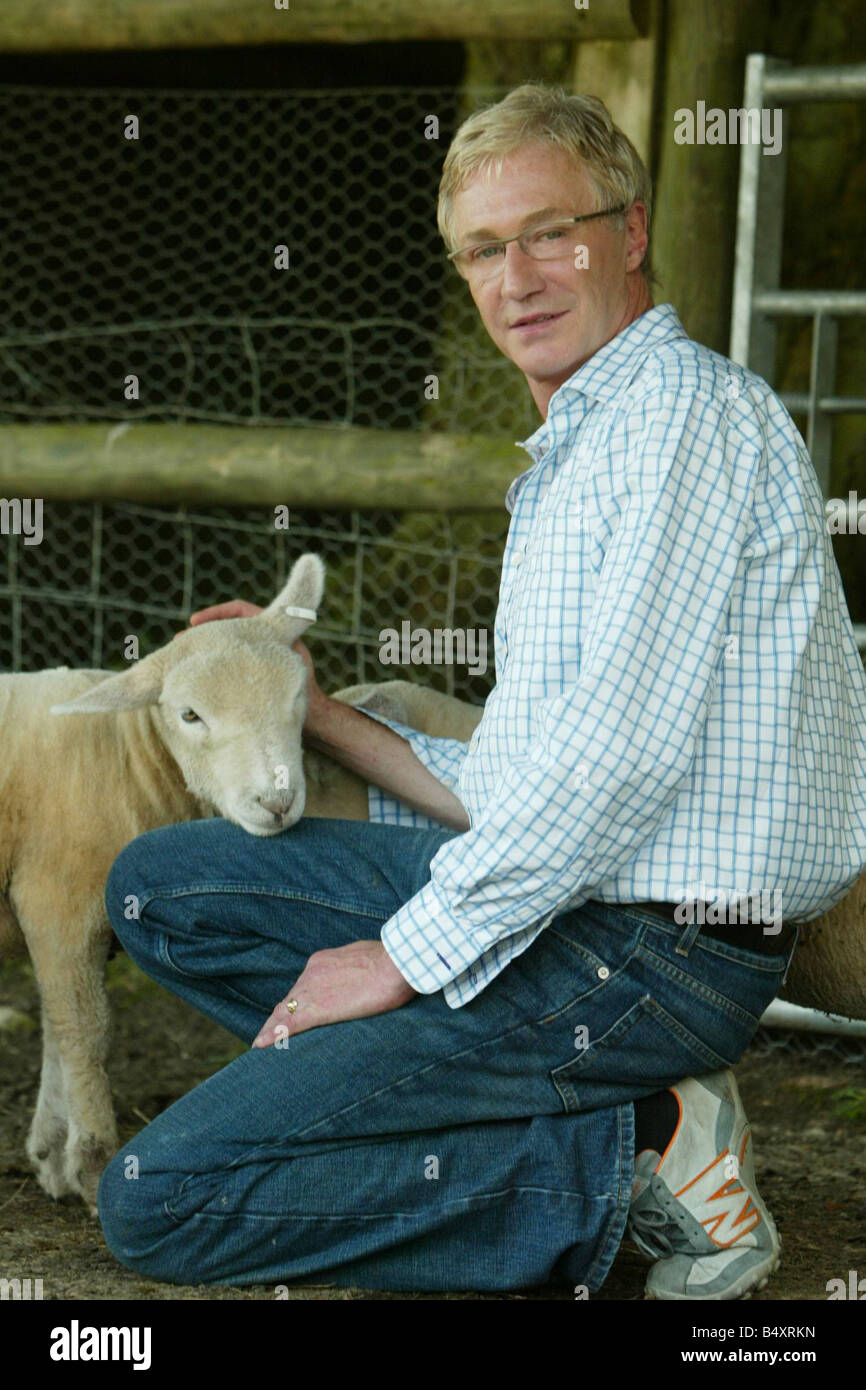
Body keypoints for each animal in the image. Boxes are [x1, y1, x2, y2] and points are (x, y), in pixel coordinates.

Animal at [0, 547, 483, 1212]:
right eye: (189, 714)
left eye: (299, 697)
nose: (276, 801)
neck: (128, 755)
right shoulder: (58, 898)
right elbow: (81, 1029)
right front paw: (91, 1165)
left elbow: (60, 1025)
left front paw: (55, 1153)